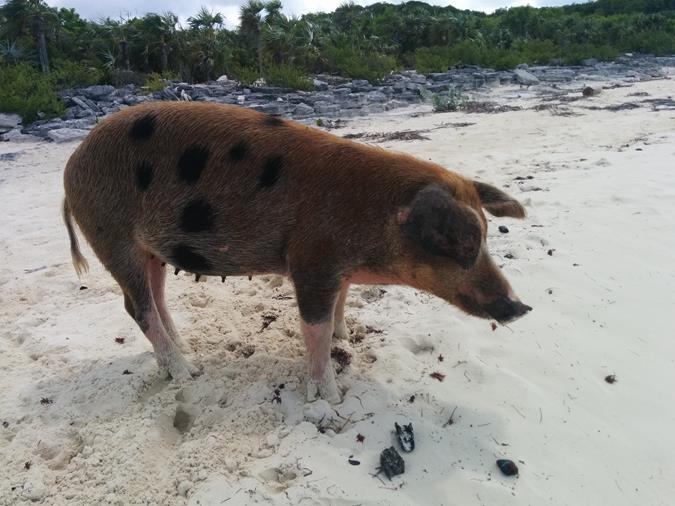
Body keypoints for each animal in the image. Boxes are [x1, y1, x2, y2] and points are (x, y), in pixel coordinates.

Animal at [60, 103, 532, 404]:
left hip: (149, 249)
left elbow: (340, 307)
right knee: (135, 307)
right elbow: (314, 327)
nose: (521, 307)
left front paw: (346, 337)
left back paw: (183, 345)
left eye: (485, 237)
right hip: (110, 233)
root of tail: (72, 164)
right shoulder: (312, 259)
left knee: (156, 298)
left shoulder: (339, 271)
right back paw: (187, 372)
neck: (374, 215)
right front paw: (329, 399)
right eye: (461, 246)